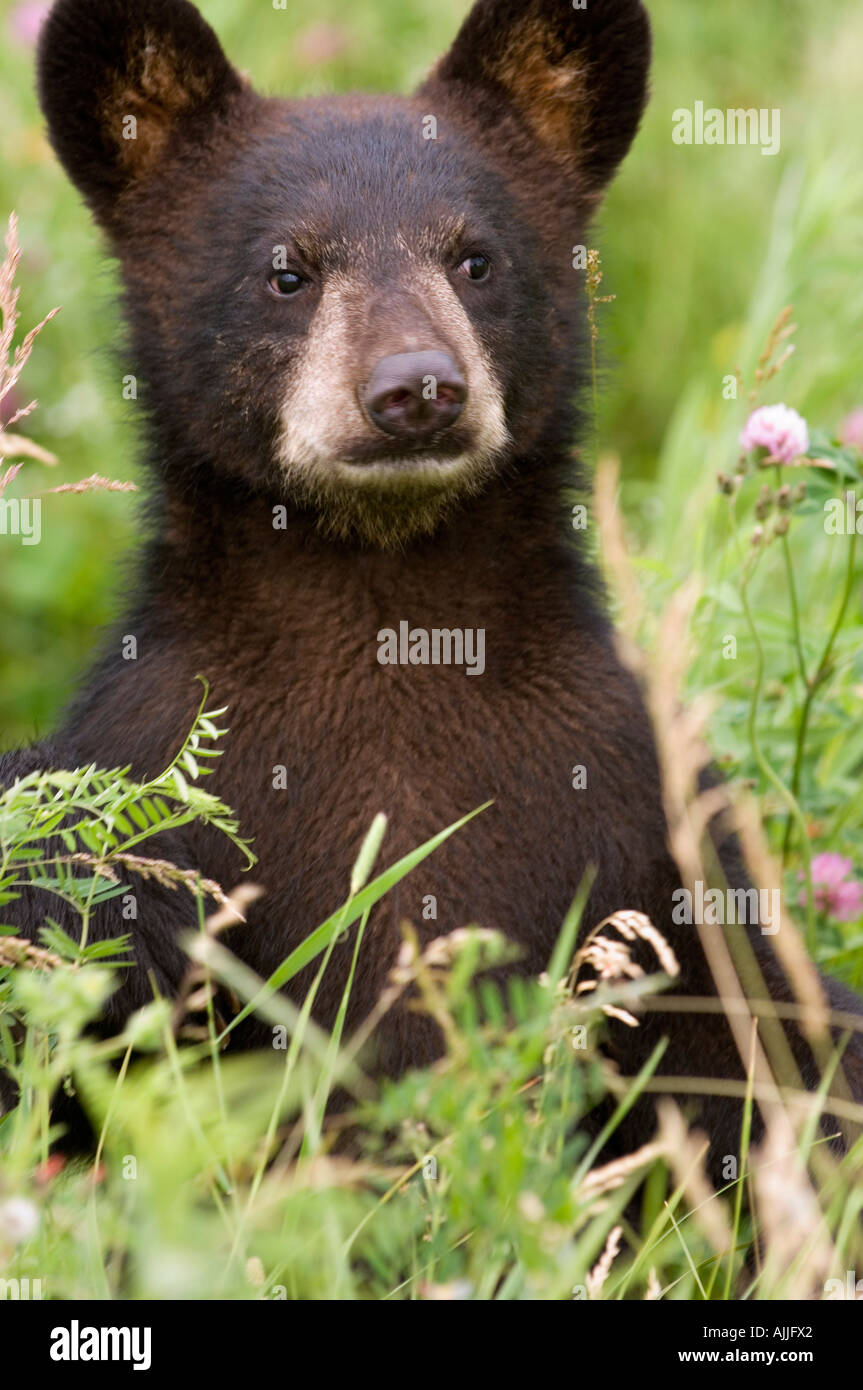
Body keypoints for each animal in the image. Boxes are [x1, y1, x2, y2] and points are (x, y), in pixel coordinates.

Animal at [2, 0, 862, 1174]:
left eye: (475, 260)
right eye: (287, 270)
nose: (415, 389)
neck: (390, 615)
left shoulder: (649, 814)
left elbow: (765, 1047)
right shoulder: (131, 802)